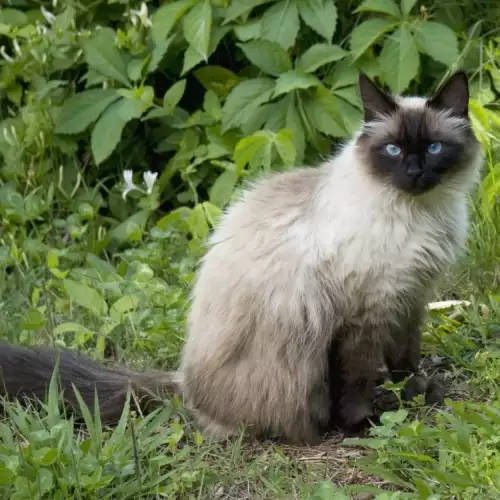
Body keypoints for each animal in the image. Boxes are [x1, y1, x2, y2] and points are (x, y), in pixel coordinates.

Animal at [0, 71, 484, 446]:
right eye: (394, 151)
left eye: (434, 148)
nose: (416, 172)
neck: (419, 213)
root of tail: (184, 385)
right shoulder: (366, 313)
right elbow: (358, 378)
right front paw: (364, 424)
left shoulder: (410, 298)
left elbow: (406, 360)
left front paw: (417, 395)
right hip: (302, 354)